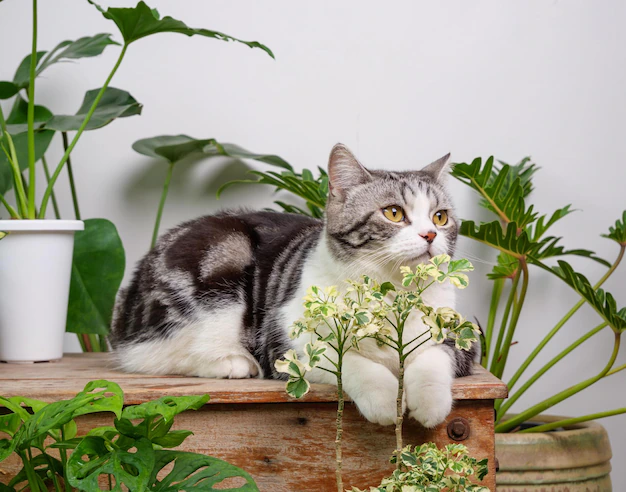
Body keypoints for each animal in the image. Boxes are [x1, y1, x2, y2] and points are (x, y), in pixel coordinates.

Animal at [112, 143, 476, 426]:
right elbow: (345, 361)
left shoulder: (464, 337)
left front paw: (430, 402)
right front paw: (384, 398)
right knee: (151, 353)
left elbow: (434, 357)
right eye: (394, 213)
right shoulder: (283, 340)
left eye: (441, 217)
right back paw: (232, 361)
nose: (429, 235)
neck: (391, 294)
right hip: (225, 252)